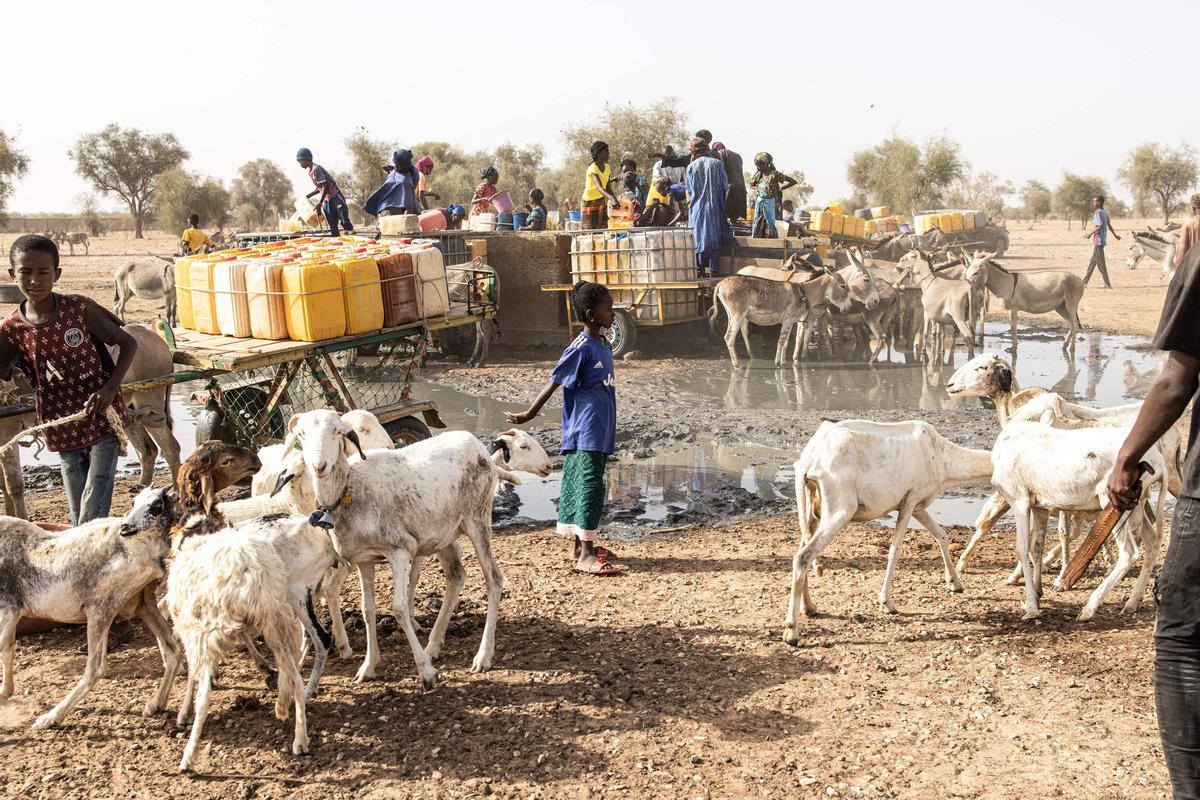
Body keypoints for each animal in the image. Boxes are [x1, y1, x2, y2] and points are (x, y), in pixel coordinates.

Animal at [0, 484, 180, 729]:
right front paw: (5, 692)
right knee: (172, 649)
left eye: (157, 505)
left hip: (100, 609)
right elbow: (8, 648)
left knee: (96, 668)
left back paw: (50, 717)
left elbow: (4, 647)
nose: (126, 528)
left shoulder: (9, 609)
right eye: (134, 501)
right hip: (143, 604)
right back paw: (156, 704)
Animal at [166, 515, 312, 772]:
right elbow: (247, 640)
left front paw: (183, 713)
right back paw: (298, 736)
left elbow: (192, 675)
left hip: (208, 629)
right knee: (296, 679)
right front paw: (265, 670)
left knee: (204, 698)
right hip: (277, 621)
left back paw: (188, 757)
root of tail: (253, 572)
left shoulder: (191, 627)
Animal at [777, 419, 993, 642]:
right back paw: (792, 633)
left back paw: (810, 608)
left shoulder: (919, 507)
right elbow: (895, 550)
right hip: (840, 510)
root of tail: (809, 459)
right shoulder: (909, 501)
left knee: (802, 549)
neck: (941, 456)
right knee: (803, 556)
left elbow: (941, 534)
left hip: (811, 507)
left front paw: (955, 583)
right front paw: (887, 603)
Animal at [988, 422, 1166, 623]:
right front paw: (1037, 595)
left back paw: (1089, 608)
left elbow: (1022, 549)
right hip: (1137, 507)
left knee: (1130, 553)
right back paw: (1131, 604)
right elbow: (1037, 547)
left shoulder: (1020, 501)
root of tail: (1158, 460)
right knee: (1152, 541)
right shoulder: (1039, 507)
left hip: (1112, 500)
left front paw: (1032, 608)